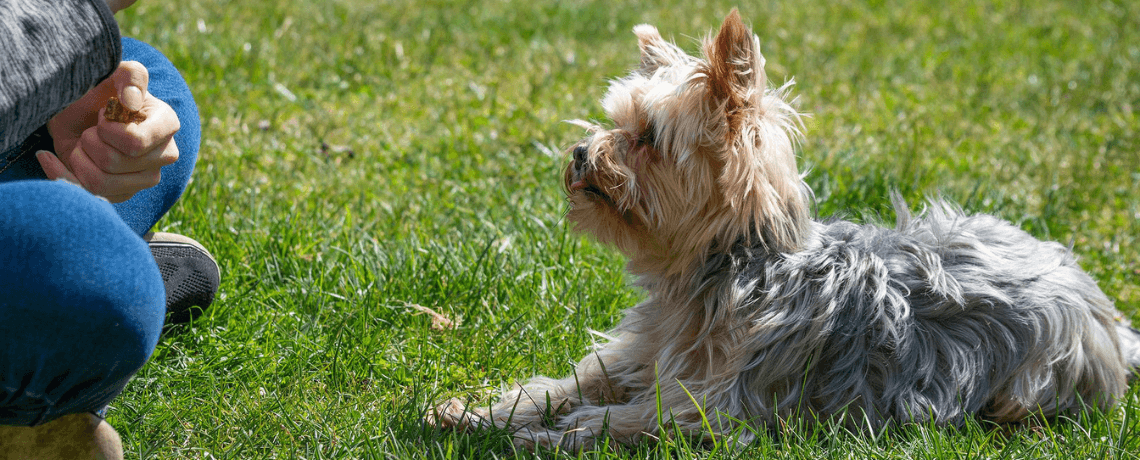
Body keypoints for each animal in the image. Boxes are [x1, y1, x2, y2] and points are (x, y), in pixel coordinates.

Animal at [428, 8, 1140, 450]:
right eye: (613, 121)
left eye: (648, 137)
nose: (580, 155)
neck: (722, 268)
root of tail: (1106, 315)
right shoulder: (640, 355)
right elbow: (566, 386)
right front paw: (477, 413)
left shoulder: (716, 404)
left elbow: (626, 418)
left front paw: (552, 435)